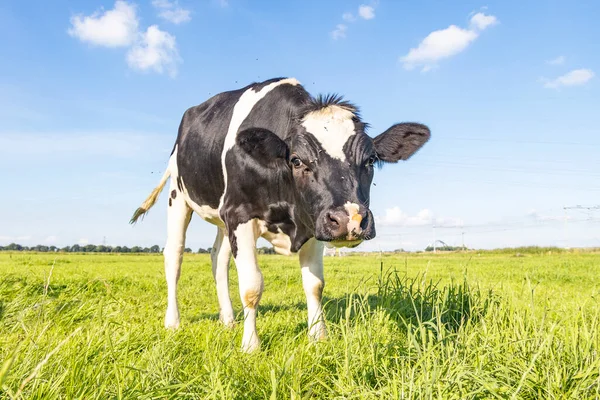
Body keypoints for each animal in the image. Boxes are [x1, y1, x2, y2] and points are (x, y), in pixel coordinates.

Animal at [131, 76, 432, 352]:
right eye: (296, 160)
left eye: (370, 160)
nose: (350, 220)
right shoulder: (239, 214)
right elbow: (252, 286)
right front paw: (251, 346)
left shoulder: (312, 222)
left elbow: (315, 284)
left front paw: (318, 337)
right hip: (178, 196)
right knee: (174, 256)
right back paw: (173, 322)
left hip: (222, 217)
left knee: (218, 258)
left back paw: (228, 320)